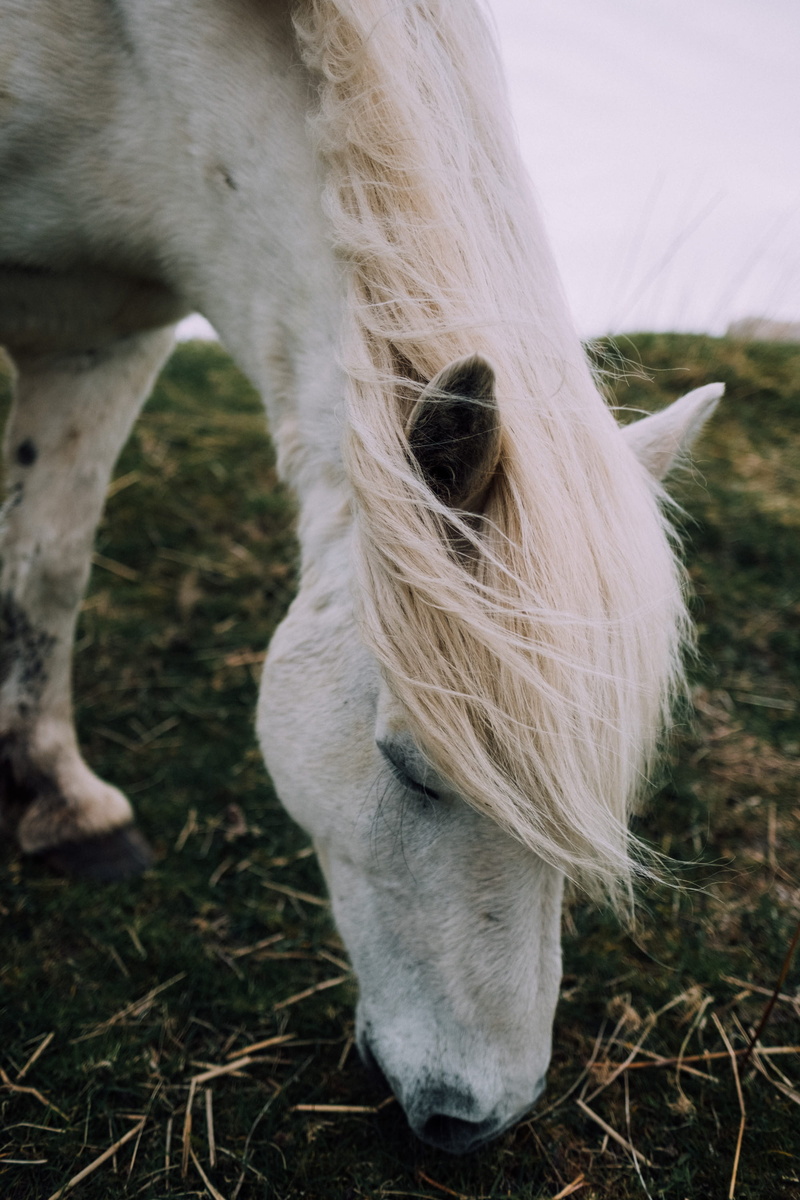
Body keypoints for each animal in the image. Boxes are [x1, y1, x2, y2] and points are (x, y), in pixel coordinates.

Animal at [0, 0, 721, 1153]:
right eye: (411, 769)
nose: (478, 1119)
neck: (127, 64)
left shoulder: (109, 340)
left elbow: (50, 560)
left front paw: (61, 803)